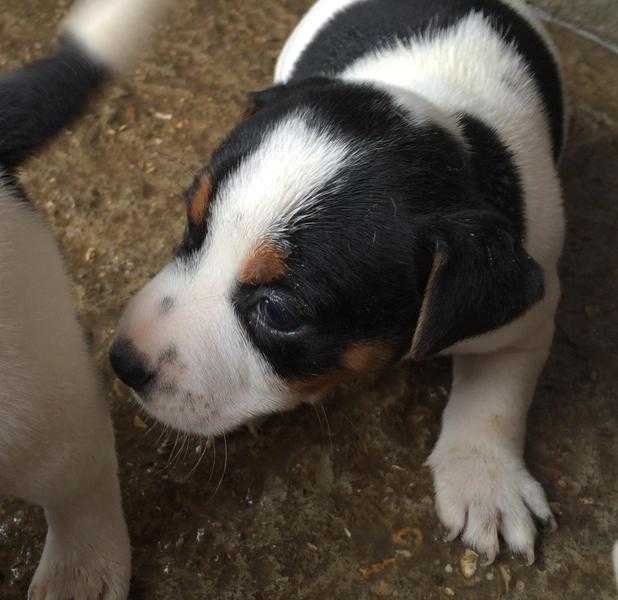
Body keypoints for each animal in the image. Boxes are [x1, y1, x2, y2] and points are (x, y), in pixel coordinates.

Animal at [113, 0, 564, 564]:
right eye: (193, 225)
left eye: (279, 312)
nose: (122, 362)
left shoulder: (526, 312)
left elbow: (494, 397)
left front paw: (487, 481)